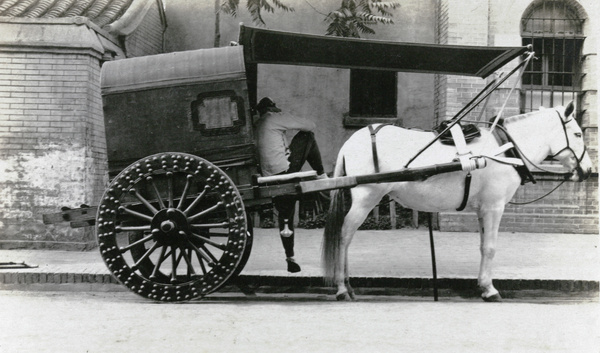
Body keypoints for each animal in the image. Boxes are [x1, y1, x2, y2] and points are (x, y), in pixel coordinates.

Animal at [322, 101, 592, 300]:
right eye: (578, 133)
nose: (589, 170)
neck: (505, 150)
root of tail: (352, 139)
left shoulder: (483, 209)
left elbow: (483, 247)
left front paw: (483, 285)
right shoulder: (494, 207)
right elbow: (491, 248)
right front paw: (490, 290)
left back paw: (349, 285)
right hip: (366, 198)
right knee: (344, 235)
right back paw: (342, 288)